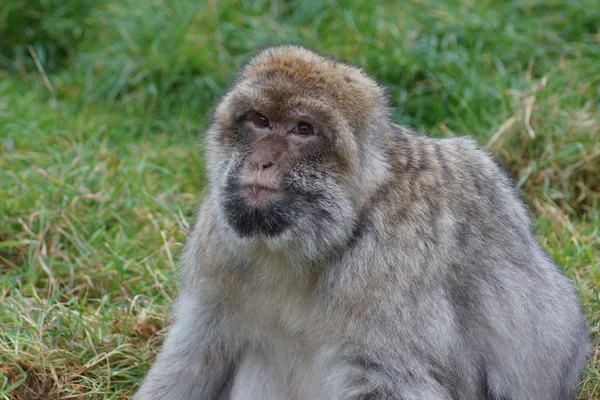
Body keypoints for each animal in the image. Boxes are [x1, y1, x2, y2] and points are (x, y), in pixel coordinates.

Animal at [132, 45, 592, 398]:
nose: (261, 161)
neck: (311, 248)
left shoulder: (388, 265)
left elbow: (389, 379)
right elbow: (195, 355)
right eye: (260, 121)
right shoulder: (216, 244)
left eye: (302, 129)